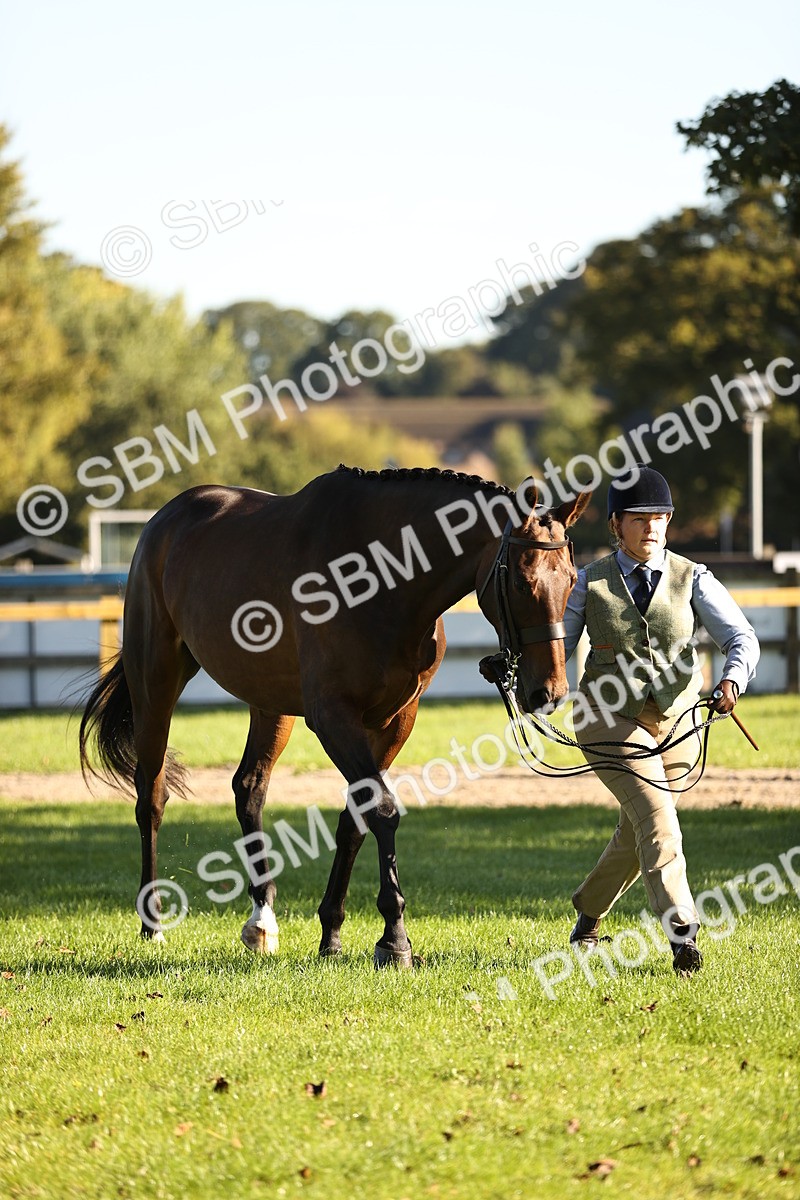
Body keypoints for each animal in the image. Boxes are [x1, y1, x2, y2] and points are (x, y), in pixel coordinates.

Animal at [80, 465, 590, 966]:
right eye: (522, 582)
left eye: (570, 579)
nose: (549, 692)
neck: (381, 579)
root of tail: (165, 520)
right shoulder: (332, 718)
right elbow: (382, 809)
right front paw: (394, 939)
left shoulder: (394, 721)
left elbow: (355, 818)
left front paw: (332, 934)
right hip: (155, 682)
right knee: (151, 796)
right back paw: (153, 924)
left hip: (270, 703)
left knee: (249, 788)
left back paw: (262, 920)